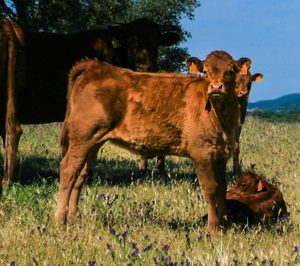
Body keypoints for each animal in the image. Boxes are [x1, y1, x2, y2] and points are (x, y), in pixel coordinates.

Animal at [56, 51, 251, 234]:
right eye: (206, 72)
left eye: (231, 70)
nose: (216, 87)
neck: (221, 117)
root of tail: (94, 66)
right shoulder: (201, 153)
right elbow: (210, 190)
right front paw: (214, 229)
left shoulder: (221, 154)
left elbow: (222, 189)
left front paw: (225, 224)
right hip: (83, 137)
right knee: (69, 169)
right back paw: (60, 221)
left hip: (94, 141)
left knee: (80, 174)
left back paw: (72, 218)